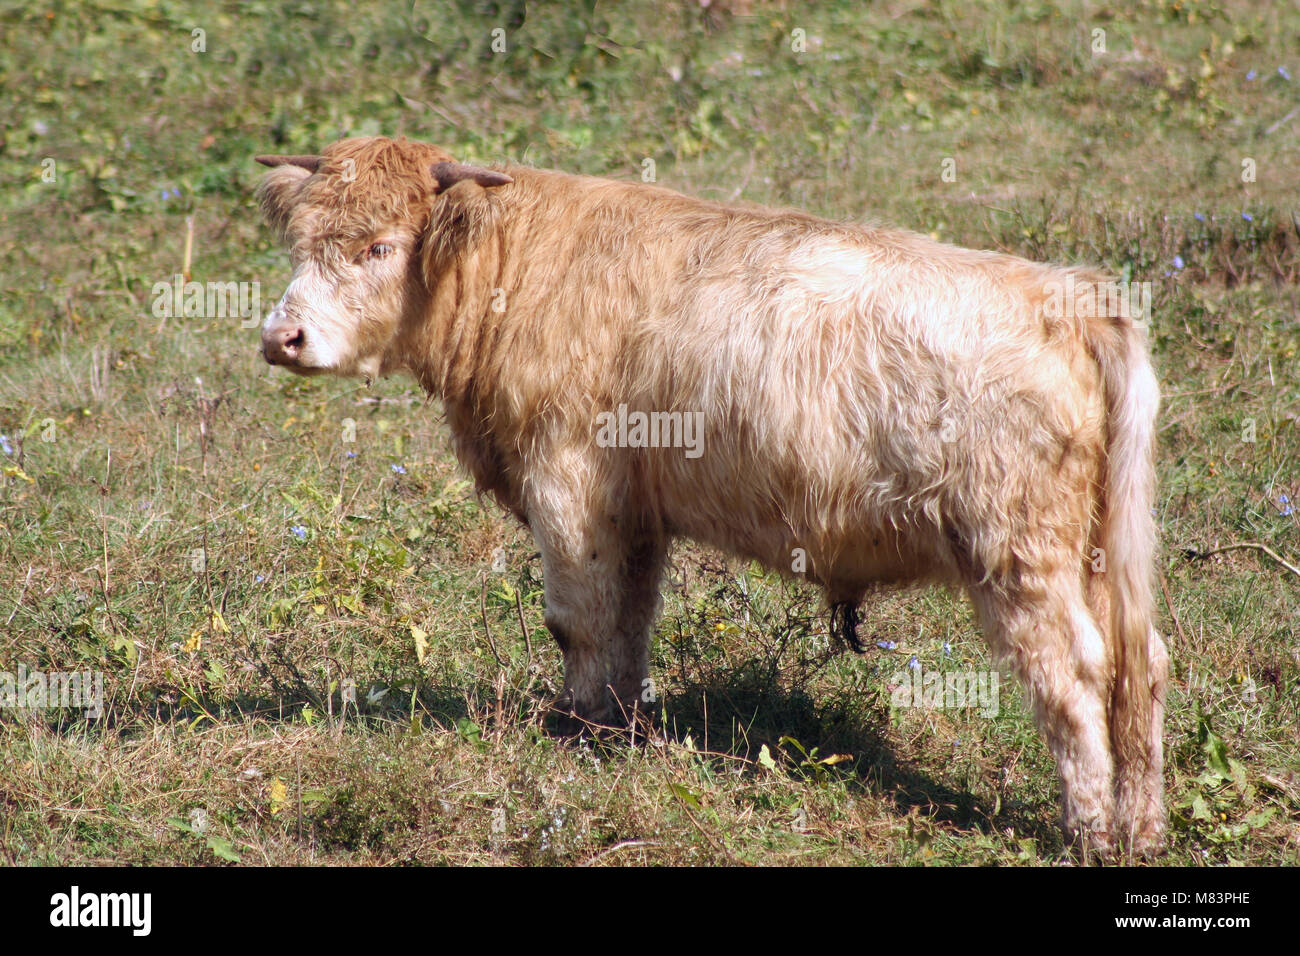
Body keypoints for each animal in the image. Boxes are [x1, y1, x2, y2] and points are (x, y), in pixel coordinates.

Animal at [254, 136, 1166, 856]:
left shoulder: (568, 483)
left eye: (379, 247)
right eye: (301, 243)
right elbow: (627, 623)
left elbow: (577, 620)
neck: (518, 269)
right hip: (1094, 554)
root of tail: (1071, 297)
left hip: (1019, 552)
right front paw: (614, 733)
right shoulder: (632, 510)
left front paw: (574, 732)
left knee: (1075, 675)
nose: (281, 336)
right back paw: (1143, 829)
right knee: (1142, 668)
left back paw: (1090, 833)